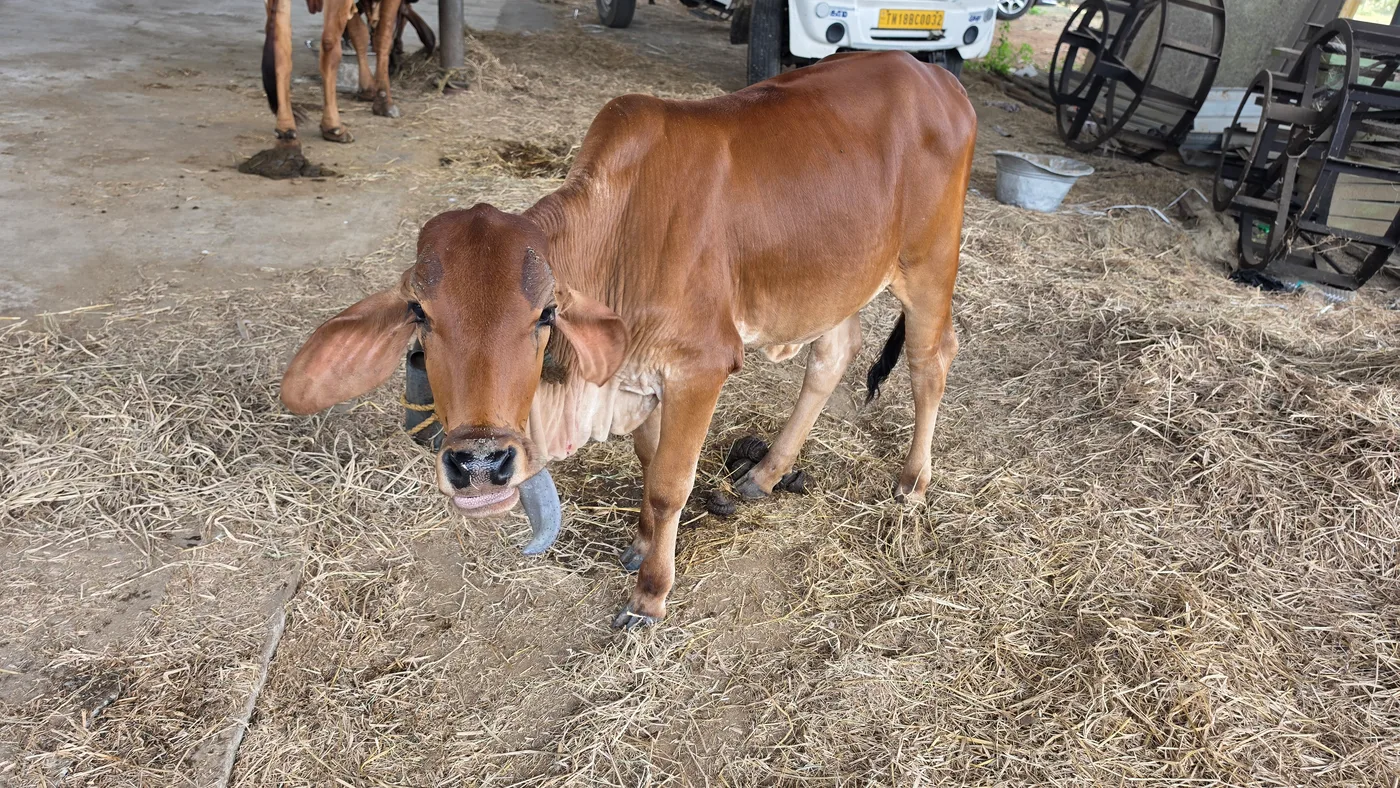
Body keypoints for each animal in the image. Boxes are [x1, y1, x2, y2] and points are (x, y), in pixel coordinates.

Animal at [280, 51, 976, 629]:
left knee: (931, 360)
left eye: (545, 314)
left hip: (929, 265)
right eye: (420, 314)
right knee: (833, 356)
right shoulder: (637, 375)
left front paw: (650, 594)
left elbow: (669, 484)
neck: (620, 235)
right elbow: (647, 461)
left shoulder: (700, 366)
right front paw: (641, 544)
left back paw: (912, 482)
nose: (479, 464)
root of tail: (938, 80)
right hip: (835, 278)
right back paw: (765, 474)